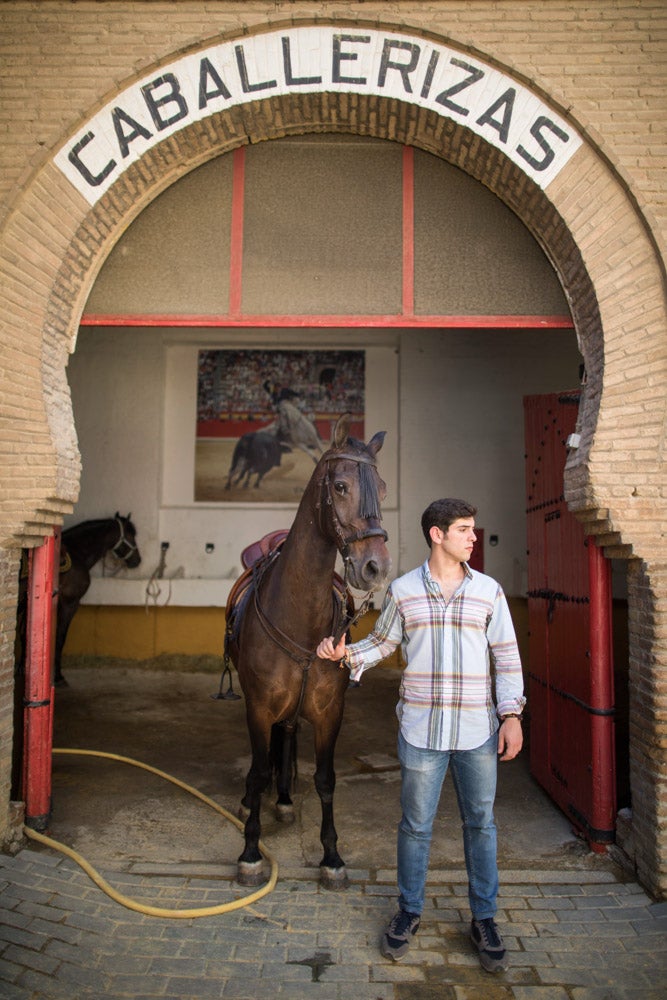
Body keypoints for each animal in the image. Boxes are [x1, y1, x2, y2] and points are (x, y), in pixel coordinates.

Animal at [55, 512, 142, 684]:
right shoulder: (69, 602)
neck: (77, 553)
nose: (137, 560)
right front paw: (58, 677)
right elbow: (60, 637)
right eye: (131, 535)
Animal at [226, 414, 392, 892]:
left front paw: (332, 857)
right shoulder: (259, 706)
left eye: (382, 488)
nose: (376, 567)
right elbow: (257, 769)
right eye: (339, 486)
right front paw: (250, 852)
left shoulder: (330, 711)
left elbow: (326, 780)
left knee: (287, 736)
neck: (299, 614)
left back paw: (283, 799)